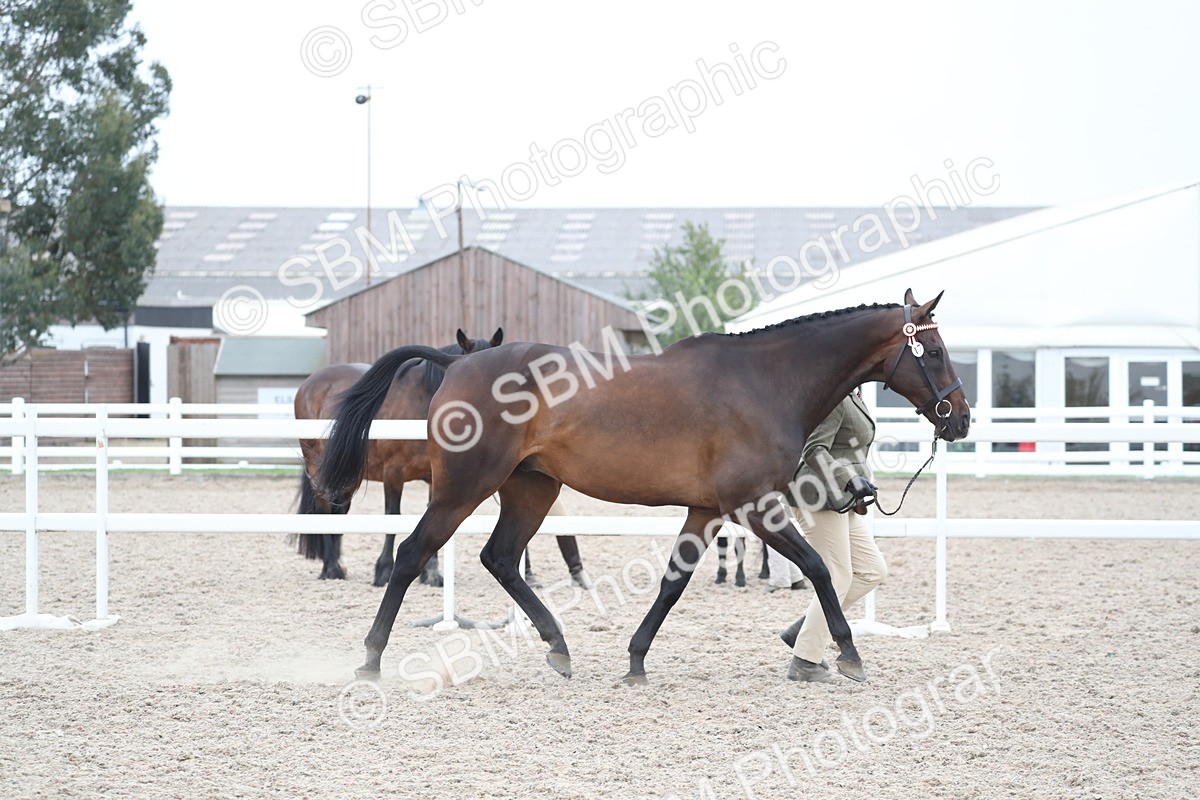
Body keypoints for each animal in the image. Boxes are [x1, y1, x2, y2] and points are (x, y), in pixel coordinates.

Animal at [316, 290, 970, 683]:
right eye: (935, 349)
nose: (959, 419)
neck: (765, 379)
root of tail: (457, 363)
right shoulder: (755, 506)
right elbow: (817, 569)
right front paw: (849, 654)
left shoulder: (707, 510)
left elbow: (673, 582)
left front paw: (635, 660)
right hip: (463, 488)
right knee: (410, 555)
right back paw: (370, 660)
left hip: (531, 489)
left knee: (500, 558)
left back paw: (559, 648)